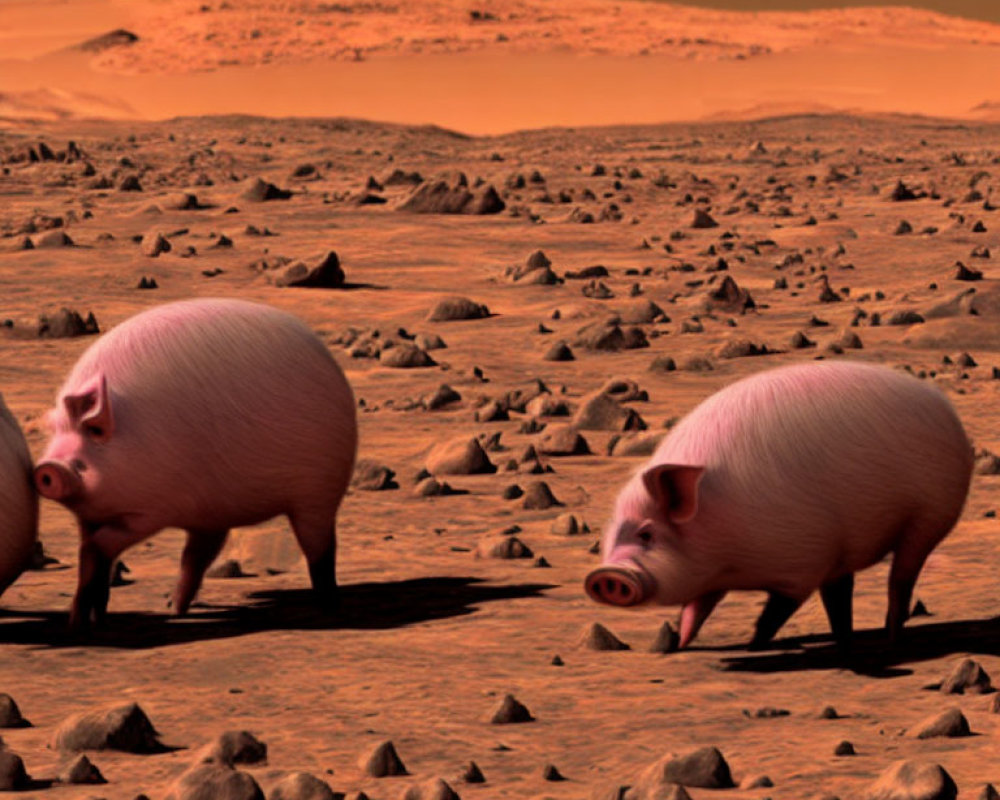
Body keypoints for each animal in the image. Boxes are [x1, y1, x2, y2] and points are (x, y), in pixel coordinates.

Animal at [33, 296, 358, 628]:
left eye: (95, 432)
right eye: (57, 434)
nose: (47, 470)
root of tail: (327, 358)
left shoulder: (152, 510)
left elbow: (97, 548)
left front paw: (78, 623)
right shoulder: (91, 516)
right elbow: (91, 555)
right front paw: (85, 619)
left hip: (319, 491)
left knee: (320, 549)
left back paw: (328, 608)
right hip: (215, 512)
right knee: (198, 555)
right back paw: (174, 609)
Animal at [588, 362, 972, 648]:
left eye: (646, 534)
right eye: (610, 536)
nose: (605, 574)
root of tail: (943, 406)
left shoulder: (803, 559)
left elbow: (774, 613)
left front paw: (753, 646)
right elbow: (695, 610)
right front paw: (680, 645)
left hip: (929, 518)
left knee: (901, 577)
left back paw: (889, 639)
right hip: (847, 547)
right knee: (841, 590)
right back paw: (845, 641)